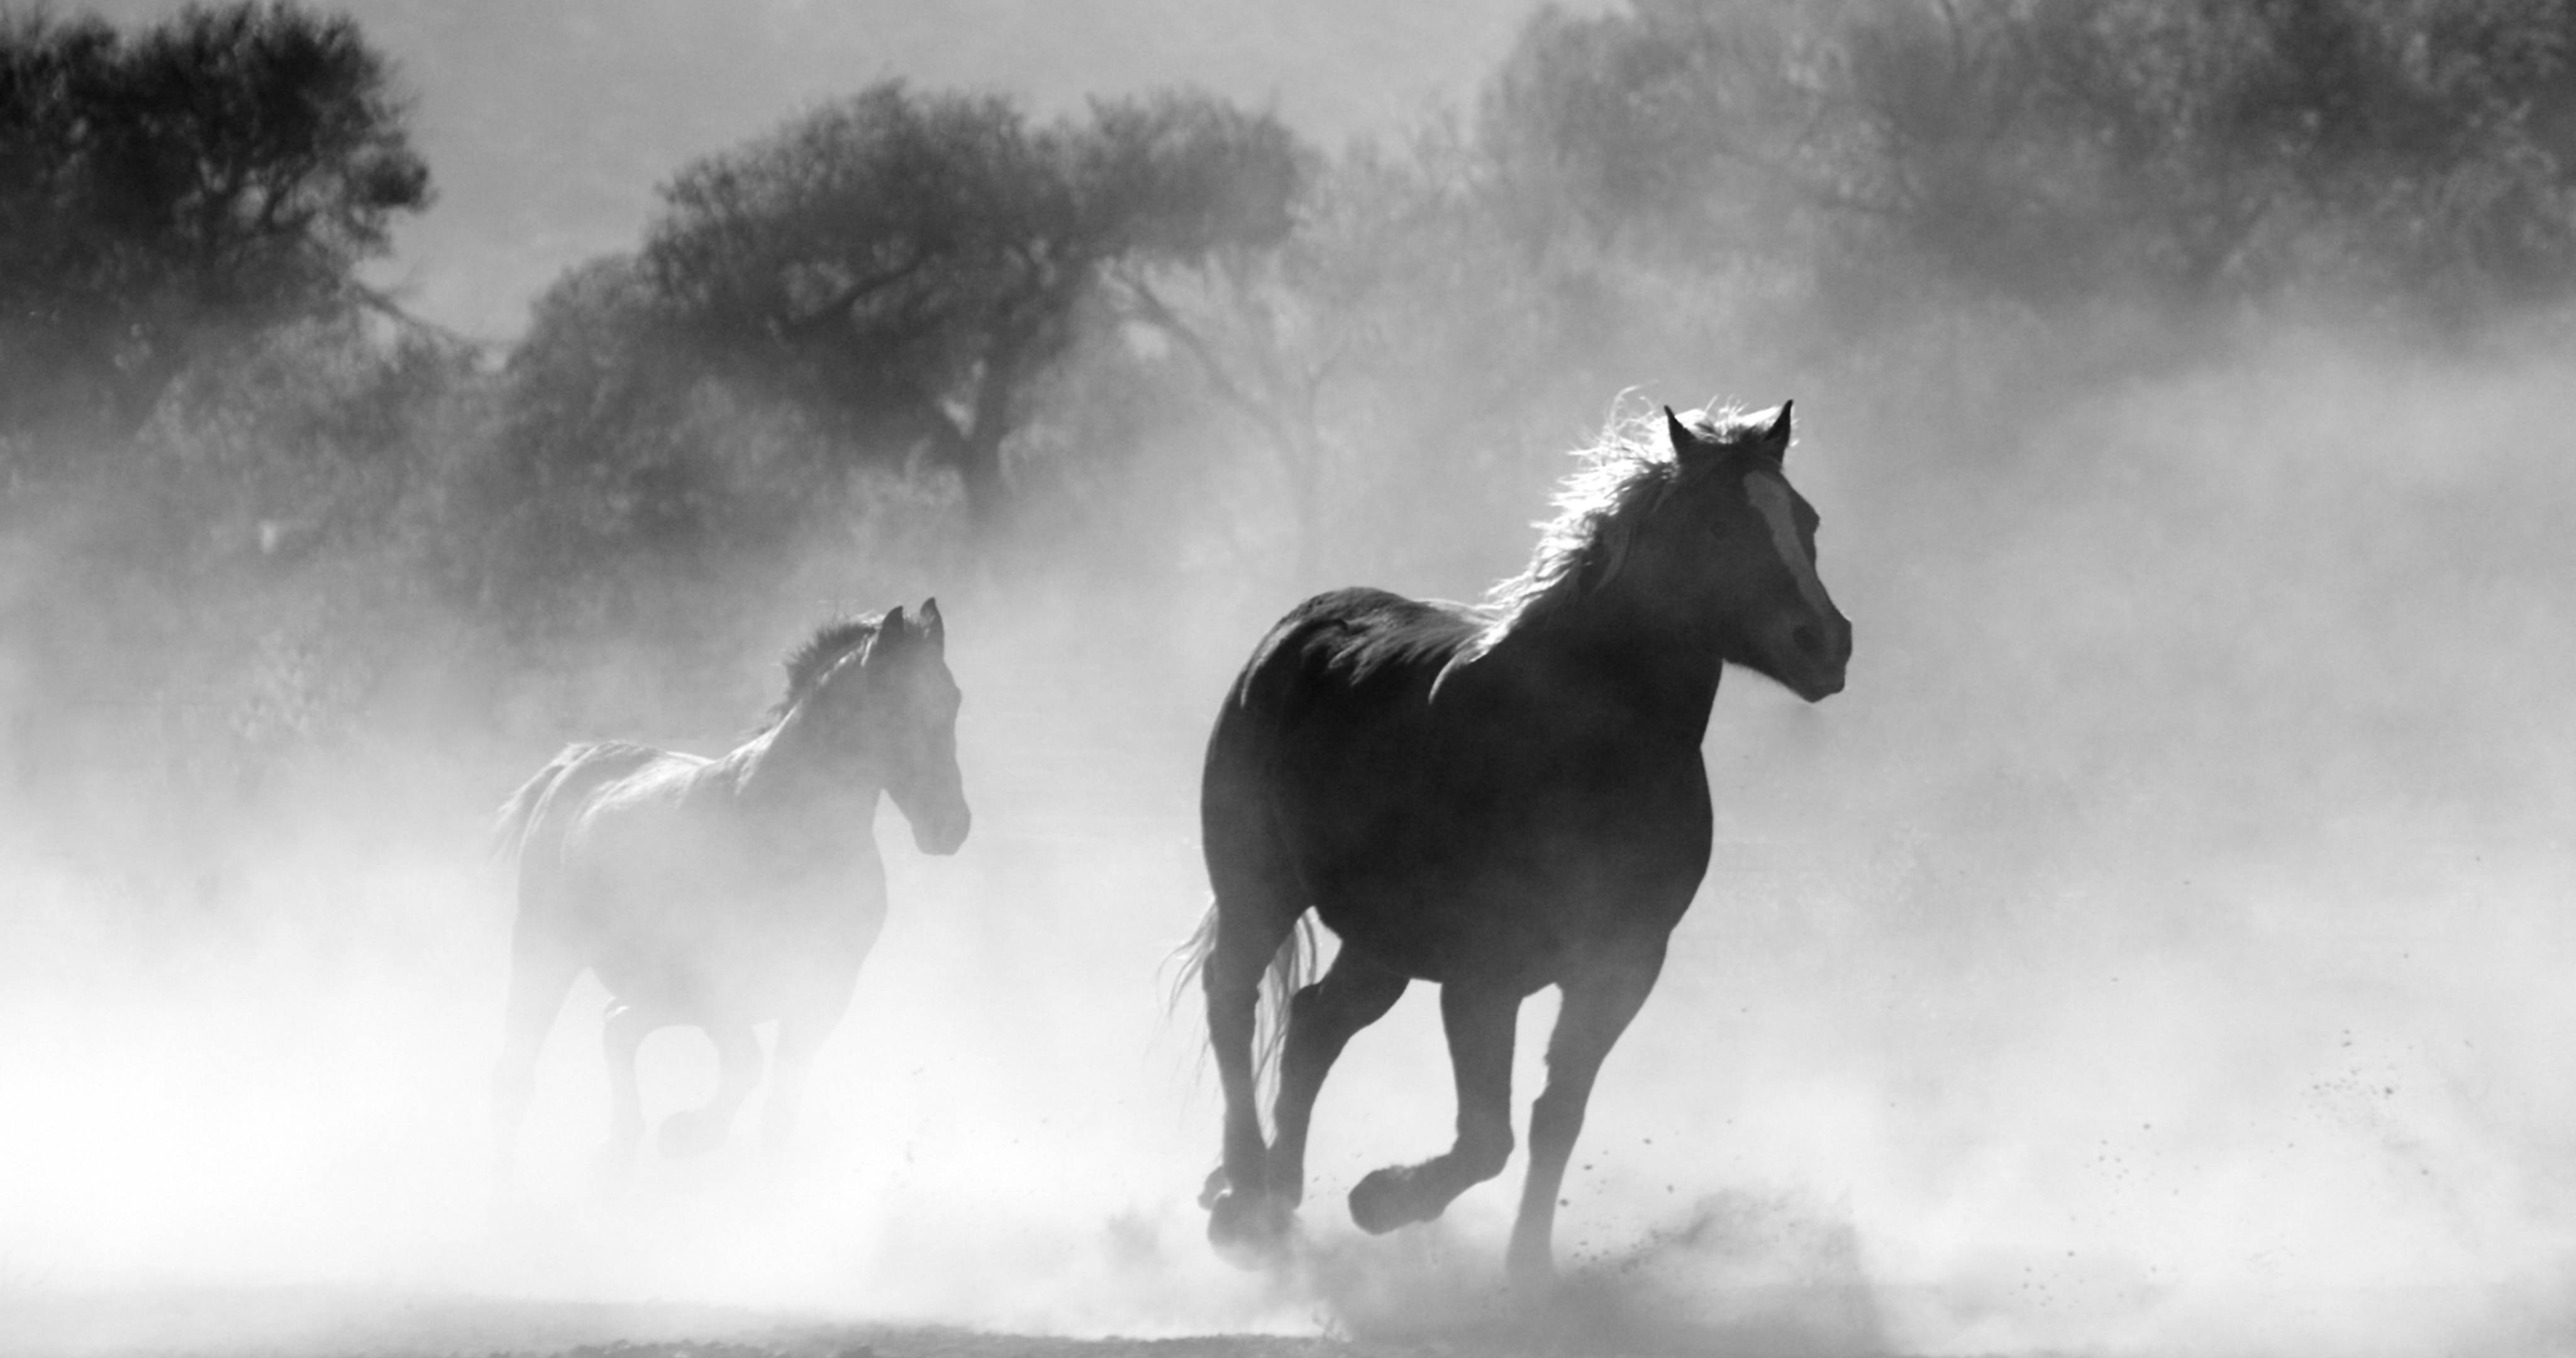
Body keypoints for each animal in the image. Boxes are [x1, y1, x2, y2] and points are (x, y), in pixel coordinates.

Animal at [489, 602, 969, 1183]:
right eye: (896, 705)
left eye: (953, 699)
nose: (950, 827)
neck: (788, 831)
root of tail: (575, 766)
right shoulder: (717, 985)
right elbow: (747, 1064)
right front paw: (688, 1134)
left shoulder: (823, 994)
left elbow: (779, 1107)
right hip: (546, 949)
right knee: (522, 1060)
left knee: (616, 1027)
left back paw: (618, 1147)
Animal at [1180, 400, 1850, 1284]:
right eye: (1716, 526)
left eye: (1805, 521)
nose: (1826, 644)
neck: (1580, 748)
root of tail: (1295, 631)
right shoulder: (1482, 976)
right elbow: (1486, 1137)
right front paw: (1383, 1200)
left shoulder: (1621, 967)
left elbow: (1554, 1117)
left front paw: (1527, 1271)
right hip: (1258, 888)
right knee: (1232, 1001)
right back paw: (1246, 1197)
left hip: (1381, 944)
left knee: (1314, 1022)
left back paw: (1281, 1197)